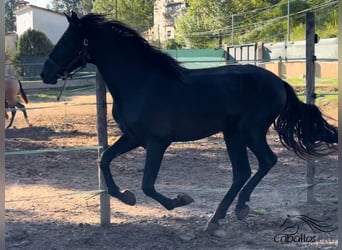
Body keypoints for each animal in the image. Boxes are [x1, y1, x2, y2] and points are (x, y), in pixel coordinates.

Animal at [40, 12, 336, 234]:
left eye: (65, 41)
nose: (45, 74)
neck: (141, 83)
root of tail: (279, 83)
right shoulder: (133, 137)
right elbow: (105, 161)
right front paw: (126, 196)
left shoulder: (157, 142)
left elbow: (148, 184)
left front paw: (180, 200)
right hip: (232, 133)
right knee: (243, 171)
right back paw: (218, 218)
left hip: (249, 131)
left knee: (266, 161)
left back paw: (234, 211)